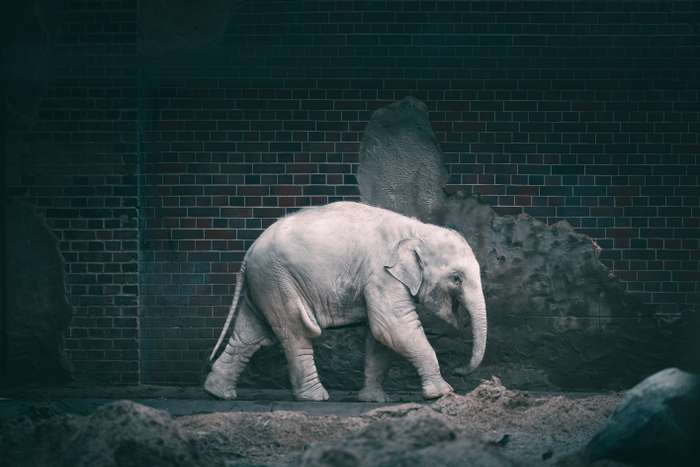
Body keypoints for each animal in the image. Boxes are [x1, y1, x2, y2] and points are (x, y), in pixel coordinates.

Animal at [204, 201, 487, 402]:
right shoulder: (381, 275)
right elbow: (393, 327)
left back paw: (217, 392)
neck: (416, 230)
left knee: (250, 334)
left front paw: (375, 400)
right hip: (278, 280)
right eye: (456, 279)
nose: (459, 370)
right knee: (296, 330)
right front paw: (442, 393)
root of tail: (249, 251)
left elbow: (380, 337)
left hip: (263, 282)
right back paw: (315, 397)